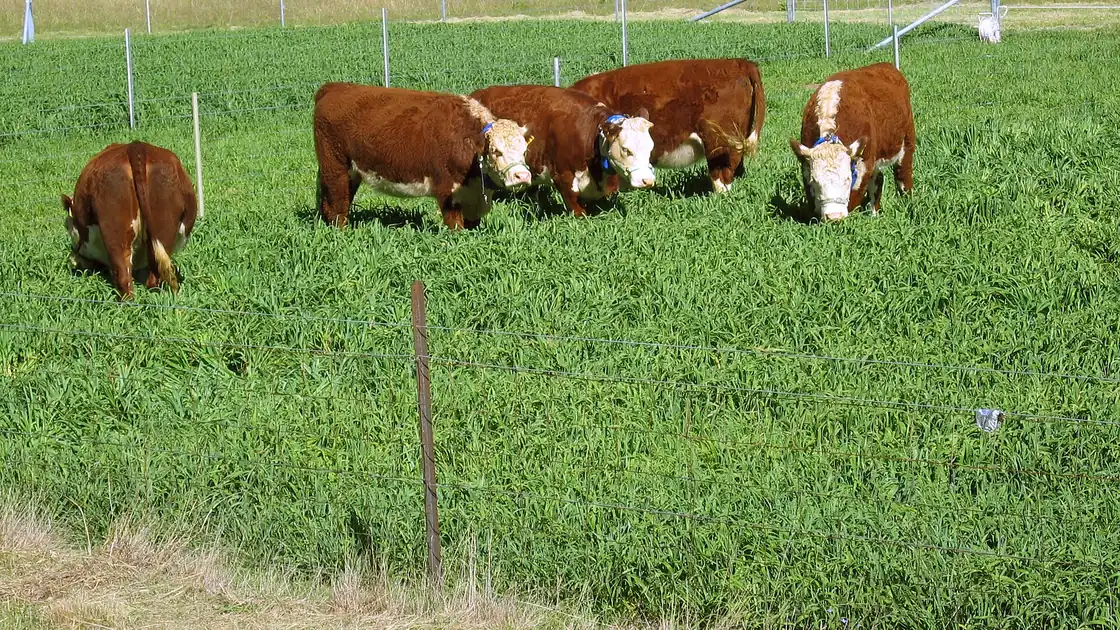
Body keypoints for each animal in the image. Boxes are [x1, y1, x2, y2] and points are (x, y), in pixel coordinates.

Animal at [63, 141, 197, 298]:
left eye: (67, 227)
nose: (75, 261)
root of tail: (136, 146)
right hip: (164, 228)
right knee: (155, 275)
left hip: (115, 230)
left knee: (124, 277)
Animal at [313, 82, 533, 230]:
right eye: (496, 151)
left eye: (524, 151)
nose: (522, 176)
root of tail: (334, 87)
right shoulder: (447, 191)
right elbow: (455, 226)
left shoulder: (474, 198)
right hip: (335, 168)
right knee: (337, 207)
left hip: (351, 172)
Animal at [469, 84, 656, 217]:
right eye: (626, 149)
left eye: (650, 148)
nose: (647, 180)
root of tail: (478, 93)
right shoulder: (563, 178)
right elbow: (578, 210)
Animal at [789, 62, 915, 221]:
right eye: (815, 181)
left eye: (848, 179)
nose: (834, 216)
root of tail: (887, 65)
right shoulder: (806, 166)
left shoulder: (863, 164)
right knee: (878, 180)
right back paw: (873, 213)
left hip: (907, 143)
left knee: (902, 176)